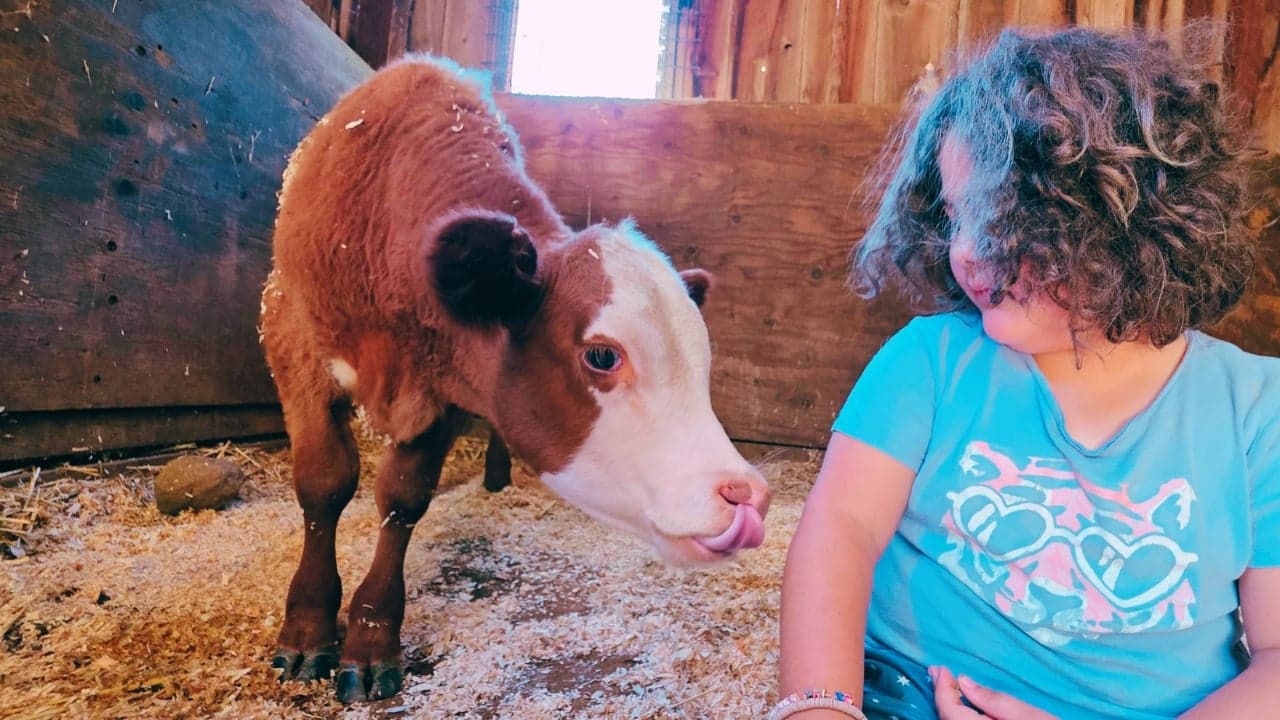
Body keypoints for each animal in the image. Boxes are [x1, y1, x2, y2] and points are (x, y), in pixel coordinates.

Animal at [258, 55, 770, 703]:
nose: (746, 495)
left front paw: (371, 638)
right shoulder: (292, 339)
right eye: (602, 356)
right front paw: (306, 629)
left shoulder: (443, 383)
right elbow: (324, 484)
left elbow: (402, 498)